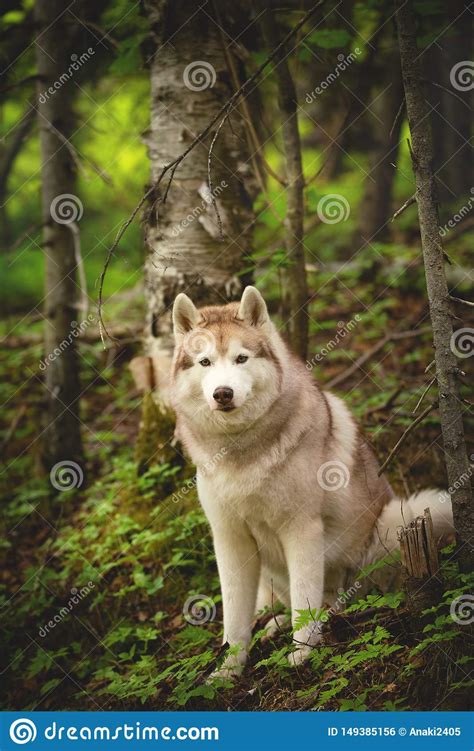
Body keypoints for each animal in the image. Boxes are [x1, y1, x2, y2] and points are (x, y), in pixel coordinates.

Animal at [169, 286, 452, 676]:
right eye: (205, 362)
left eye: (241, 358)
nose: (222, 393)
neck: (241, 451)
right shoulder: (229, 538)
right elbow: (234, 619)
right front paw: (227, 671)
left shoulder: (301, 530)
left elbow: (304, 602)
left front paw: (302, 653)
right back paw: (272, 624)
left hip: (397, 521)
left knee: (340, 594)